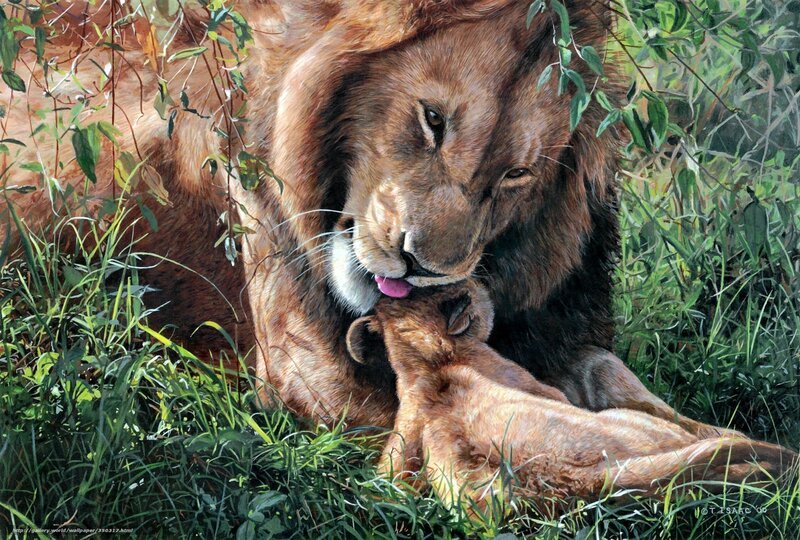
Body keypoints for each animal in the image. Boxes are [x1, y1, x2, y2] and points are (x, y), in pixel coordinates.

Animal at [0, 1, 728, 433]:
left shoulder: (566, 331)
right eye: (432, 121)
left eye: (516, 175)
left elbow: (619, 383)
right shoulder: (311, 383)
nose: (423, 265)